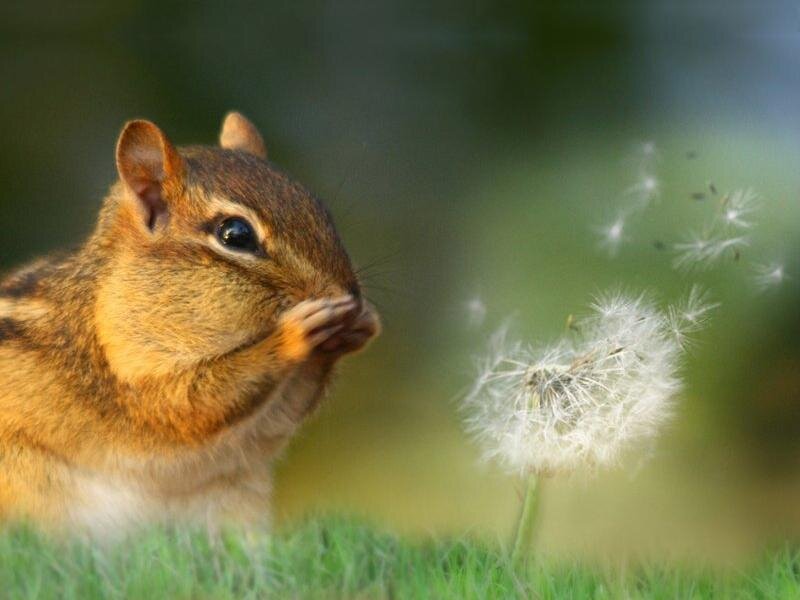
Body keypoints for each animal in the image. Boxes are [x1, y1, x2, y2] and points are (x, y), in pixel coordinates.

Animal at [0, 112, 380, 536]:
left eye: (320, 210)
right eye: (235, 234)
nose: (348, 294)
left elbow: (281, 414)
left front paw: (359, 325)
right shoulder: (128, 375)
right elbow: (190, 405)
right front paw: (294, 334)